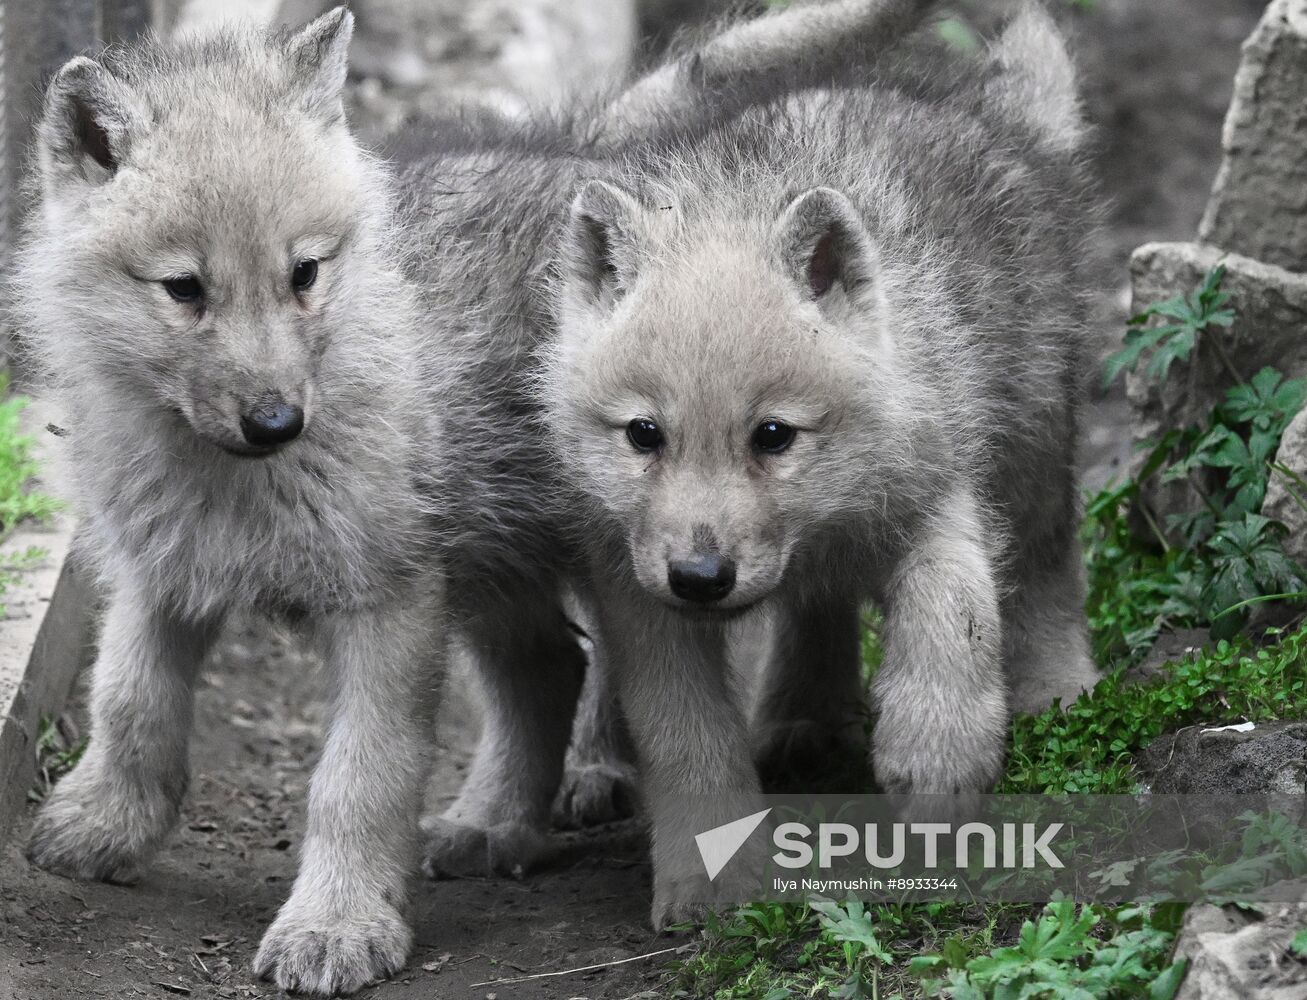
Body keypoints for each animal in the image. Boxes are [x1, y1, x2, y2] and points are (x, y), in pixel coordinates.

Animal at [540, 5, 1103, 925]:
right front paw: (708, 877)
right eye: (643, 435)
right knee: (816, 608)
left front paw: (935, 759)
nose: (702, 577)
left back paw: (1057, 687)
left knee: (1046, 566)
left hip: (1031, 438)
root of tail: (996, 117)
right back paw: (790, 716)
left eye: (773, 436)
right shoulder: (637, 593)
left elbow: (953, 615)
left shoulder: (935, 492)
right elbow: (684, 735)